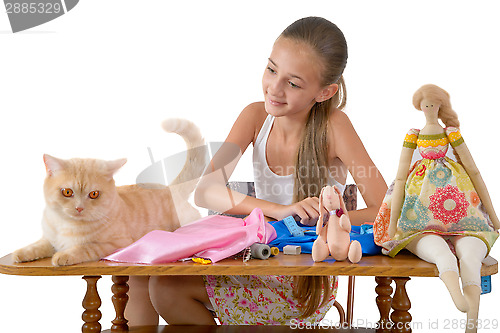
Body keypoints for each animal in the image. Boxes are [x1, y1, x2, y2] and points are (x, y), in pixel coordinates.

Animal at [12, 118, 207, 266]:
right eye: (67, 192)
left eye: (93, 194)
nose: (79, 208)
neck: (67, 226)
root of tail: (170, 188)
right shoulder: (50, 237)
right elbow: (38, 245)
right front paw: (21, 253)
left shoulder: (115, 244)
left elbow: (85, 247)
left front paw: (63, 255)